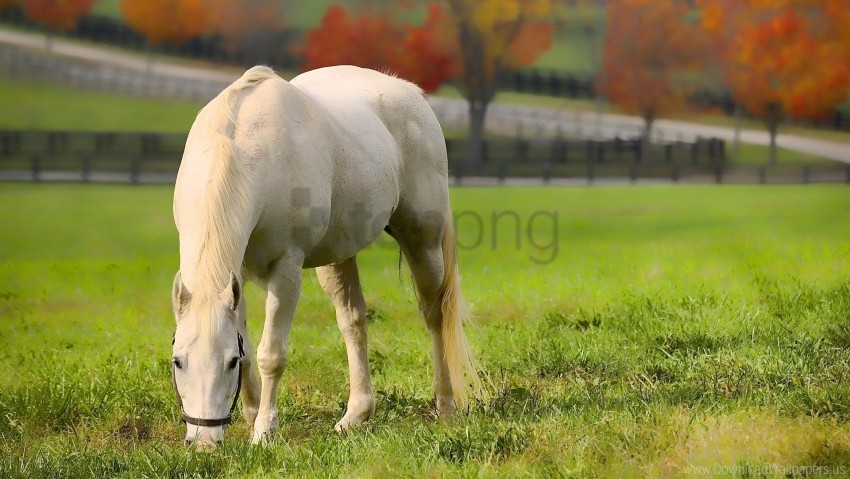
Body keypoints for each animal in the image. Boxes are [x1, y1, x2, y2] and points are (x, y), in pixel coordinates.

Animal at [170, 65, 480, 448]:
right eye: (178, 361)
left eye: (227, 362)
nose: (204, 442)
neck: (243, 149)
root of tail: (411, 93)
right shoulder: (234, 275)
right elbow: (250, 345)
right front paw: (252, 414)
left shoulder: (286, 269)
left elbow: (271, 354)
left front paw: (264, 431)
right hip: (339, 257)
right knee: (353, 322)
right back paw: (356, 415)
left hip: (423, 242)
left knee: (436, 315)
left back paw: (445, 404)